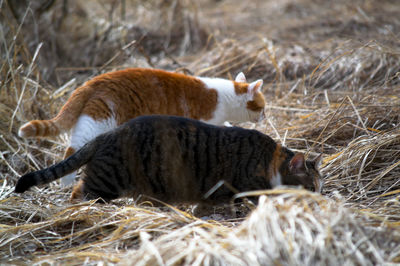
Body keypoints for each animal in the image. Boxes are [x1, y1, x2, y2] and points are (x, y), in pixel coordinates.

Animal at [15, 115, 324, 204]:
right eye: (311, 187)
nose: (321, 199)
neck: (270, 160)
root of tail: (109, 134)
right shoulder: (243, 185)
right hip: (108, 179)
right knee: (81, 191)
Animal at [18, 67, 266, 186]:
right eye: (262, 108)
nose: (265, 117)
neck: (226, 96)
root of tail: (90, 82)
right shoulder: (203, 120)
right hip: (100, 120)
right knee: (72, 151)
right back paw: (66, 183)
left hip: (90, 121)